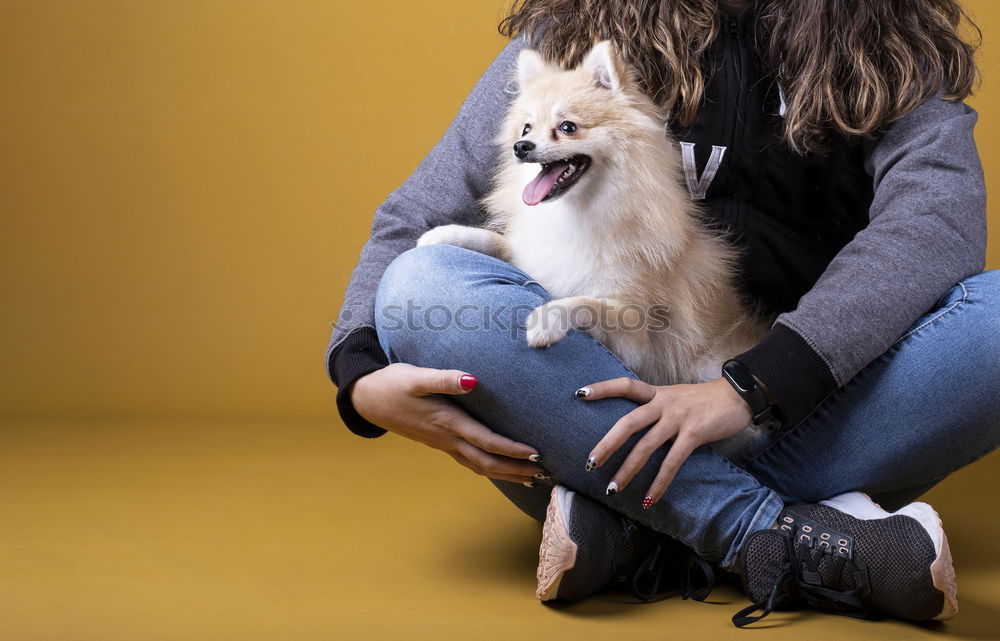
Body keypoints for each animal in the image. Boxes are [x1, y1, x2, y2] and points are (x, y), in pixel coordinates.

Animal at [418, 42, 768, 388]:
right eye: (526, 128)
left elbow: (588, 303)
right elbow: (496, 240)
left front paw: (548, 319)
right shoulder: (532, 255)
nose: (521, 146)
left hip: (707, 365)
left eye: (567, 127)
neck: (573, 212)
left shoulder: (635, 340)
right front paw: (441, 234)